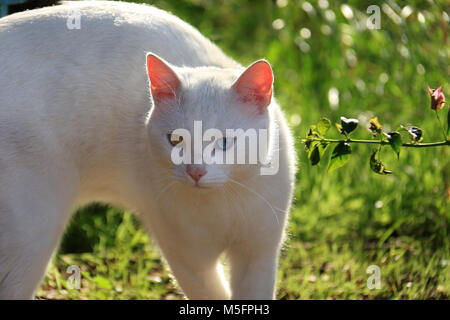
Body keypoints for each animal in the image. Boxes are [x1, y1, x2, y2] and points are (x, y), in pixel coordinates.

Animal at [0, 0, 298, 300]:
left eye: (224, 142)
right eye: (175, 140)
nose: (195, 171)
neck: (223, 203)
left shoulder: (259, 255)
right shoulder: (187, 257)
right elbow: (211, 294)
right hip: (32, 235)